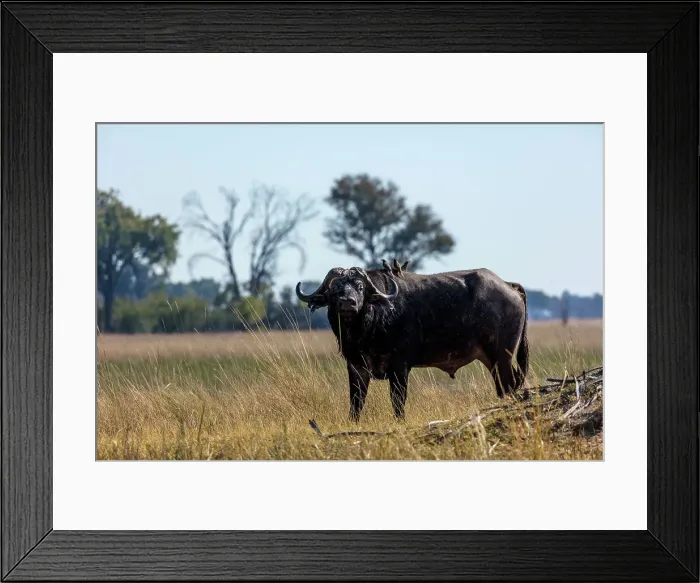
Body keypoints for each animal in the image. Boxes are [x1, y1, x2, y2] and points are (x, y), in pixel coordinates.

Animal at [296, 260, 529, 421]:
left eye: (360, 287)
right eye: (335, 288)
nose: (348, 303)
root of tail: (509, 286)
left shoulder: (400, 367)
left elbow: (398, 401)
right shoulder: (356, 367)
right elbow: (356, 402)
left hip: (502, 356)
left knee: (509, 384)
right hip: (492, 360)